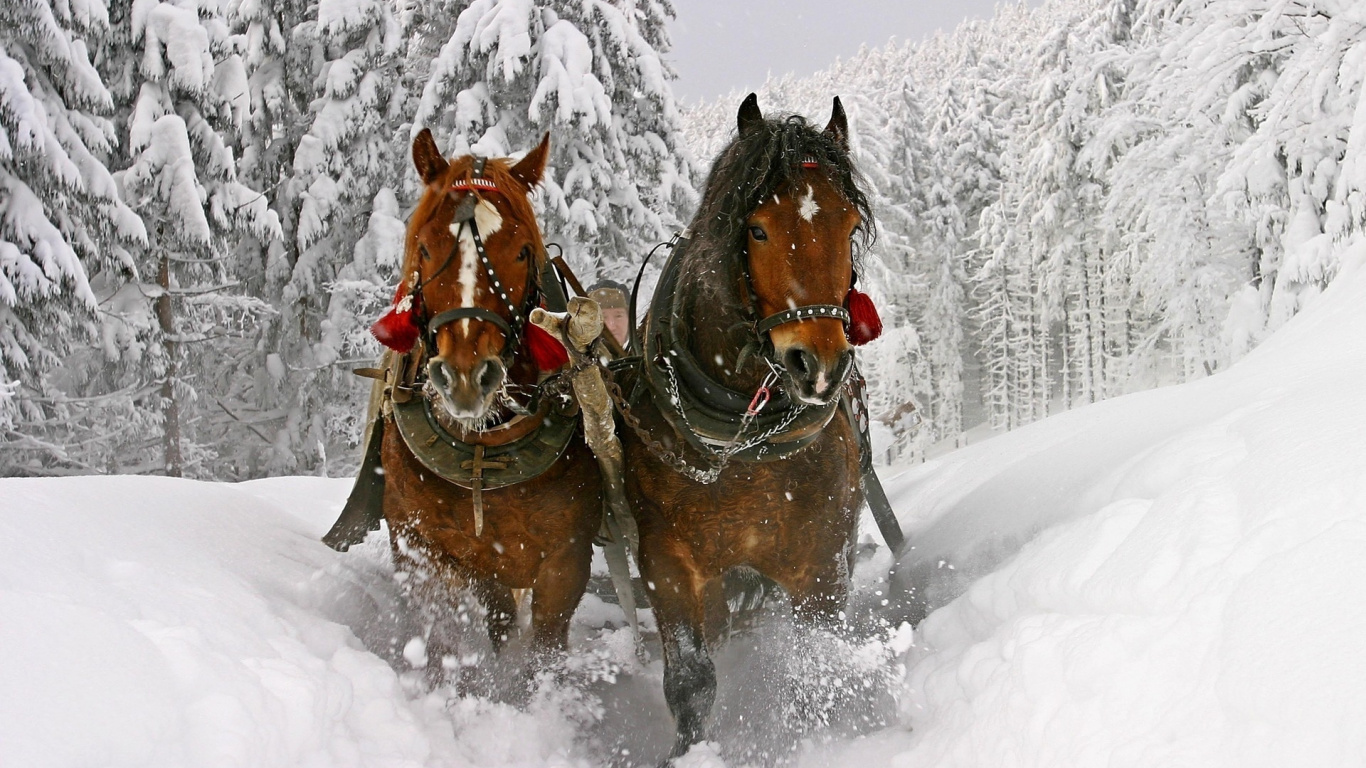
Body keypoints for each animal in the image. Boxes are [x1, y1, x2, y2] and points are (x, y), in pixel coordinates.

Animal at [351, 129, 603, 691]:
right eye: (425, 246)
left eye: (523, 251)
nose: (466, 376)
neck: (483, 448)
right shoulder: (421, 547)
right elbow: (443, 639)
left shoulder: (566, 559)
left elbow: (544, 653)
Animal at [616, 94, 878, 759]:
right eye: (757, 229)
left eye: (849, 227)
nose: (820, 365)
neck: (742, 443)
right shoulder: (667, 562)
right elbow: (690, 682)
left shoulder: (822, 561)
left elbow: (816, 666)